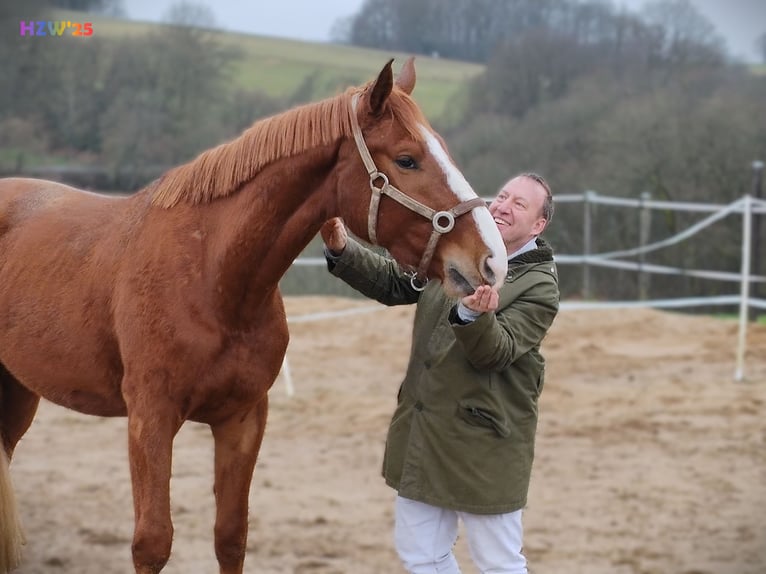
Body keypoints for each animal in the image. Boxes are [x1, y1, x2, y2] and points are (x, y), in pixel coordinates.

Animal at [0, 59, 510, 574]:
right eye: (407, 160)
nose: (492, 260)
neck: (213, 277)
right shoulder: (150, 417)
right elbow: (153, 541)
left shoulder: (243, 418)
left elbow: (231, 535)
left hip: (20, 394)